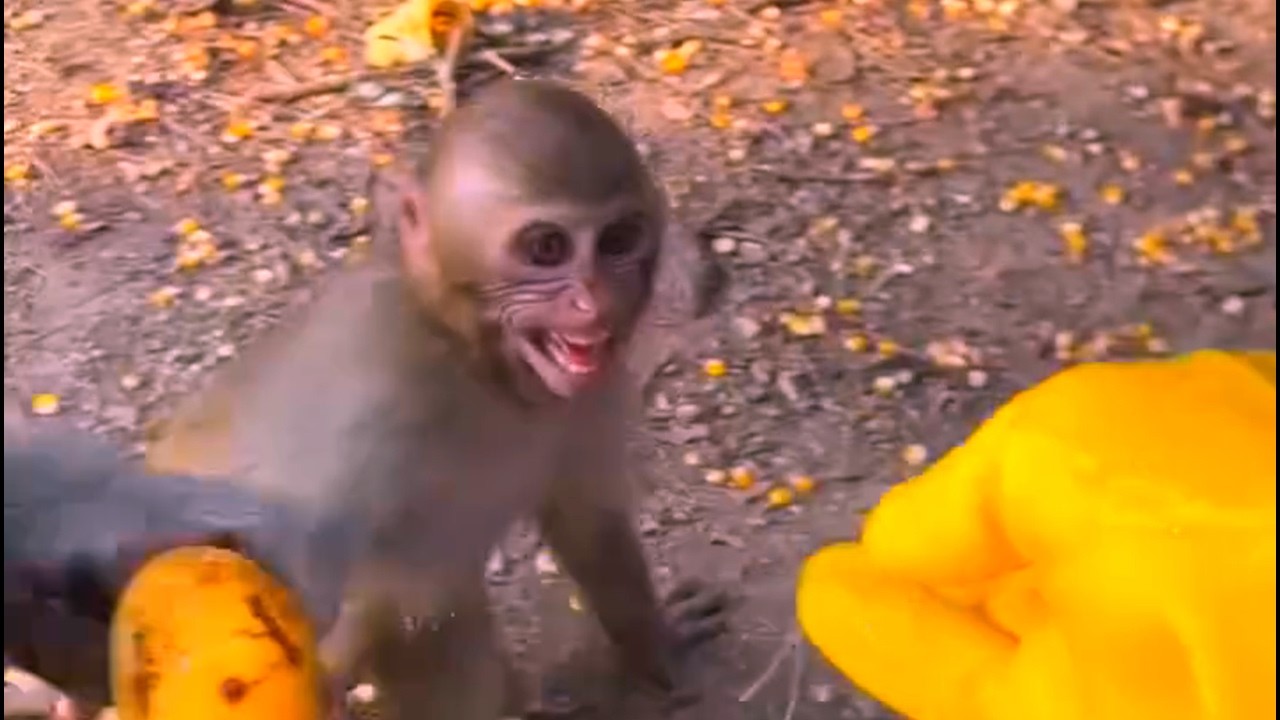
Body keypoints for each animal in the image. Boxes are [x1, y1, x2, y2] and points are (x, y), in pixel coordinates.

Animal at [143, 79, 730, 720]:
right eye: (547, 248)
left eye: (618, 241)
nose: (594, 301)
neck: (474, 360)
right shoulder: (370, 380)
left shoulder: (590, 389)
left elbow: (587, 519)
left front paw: (654, 644)